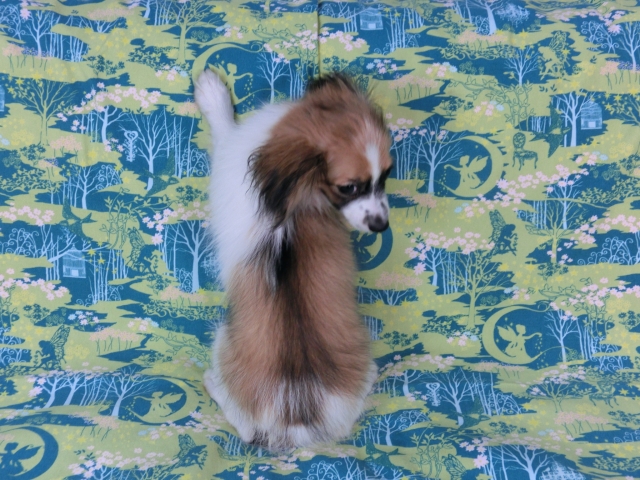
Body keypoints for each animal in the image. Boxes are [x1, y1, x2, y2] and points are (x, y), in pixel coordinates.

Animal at [194, 70, 392, 450]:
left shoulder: (228, 154)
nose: (381, 225)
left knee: (244, 427)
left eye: (385, 176)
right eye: (349, 187)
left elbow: (224, 128)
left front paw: (212, 95)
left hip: (223, 339)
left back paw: (213, 384)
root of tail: (298, 419)